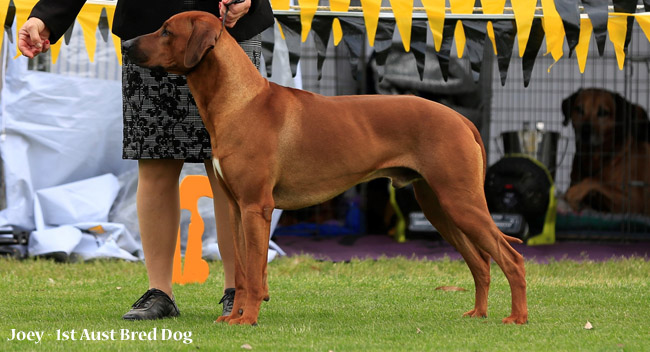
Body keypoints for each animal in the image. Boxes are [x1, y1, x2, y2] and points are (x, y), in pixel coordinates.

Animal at [121, 10, 528, 324]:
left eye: (166, 31)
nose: (125, 45)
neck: (240, 100)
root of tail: (461, 119)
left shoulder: (256, 207)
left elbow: (254, 274)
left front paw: (247, 319)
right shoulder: (237, 209)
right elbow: (243, 270)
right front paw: (234, 316)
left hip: (460, 201)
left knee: (511, 258)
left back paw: (517, 317)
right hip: (439, 206)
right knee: (482, 263)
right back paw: (479, 314)